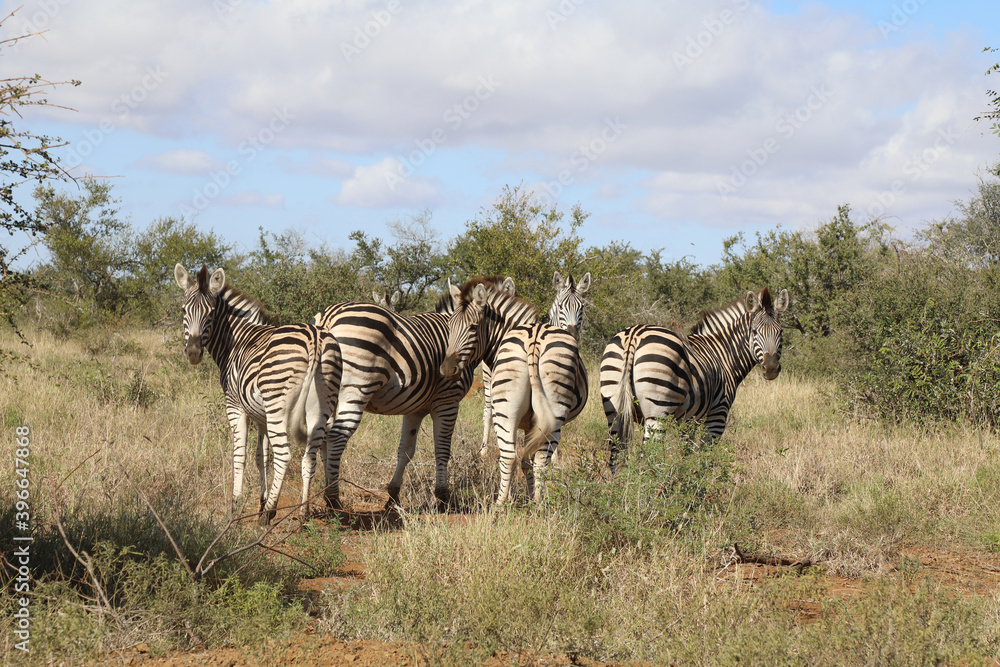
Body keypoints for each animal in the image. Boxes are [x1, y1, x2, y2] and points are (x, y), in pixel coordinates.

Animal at [174, 264, 342, 525]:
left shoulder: (235, 406)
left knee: (284, 455)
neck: (234, 340)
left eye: (210, 313)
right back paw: (302, 513)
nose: (192, 353)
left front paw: (237, 505)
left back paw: (271, 513)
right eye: (184, 310)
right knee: (310, 456)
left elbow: (240, 455)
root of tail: (315, 337)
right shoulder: (261, 415)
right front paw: (261, 502)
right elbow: (260, 457)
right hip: (321, 407)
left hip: (278, 404)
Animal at [443, 277, 589, 502]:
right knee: (536, 460)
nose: (447, 369)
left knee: (511, 456)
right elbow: (528, 460)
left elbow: (525, 460)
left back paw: (503, 503)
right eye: (449, 326)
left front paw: (527, 496)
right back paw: (534, 503)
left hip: (507, 407)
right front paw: (531, 495)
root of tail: (534, 341)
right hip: (547, 411)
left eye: (473, 327)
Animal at [601, 287, 789, 471]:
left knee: (615, 458)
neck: (724, 355)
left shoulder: (689, 421)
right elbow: (705, 458)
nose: (771, 368)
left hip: (614, 409)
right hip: (658, 411)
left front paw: (682, 478)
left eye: (780, 332)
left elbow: (686, 454)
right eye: (754, 332)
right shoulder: (717, 415)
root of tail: (634, 335)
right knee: (646, 460)